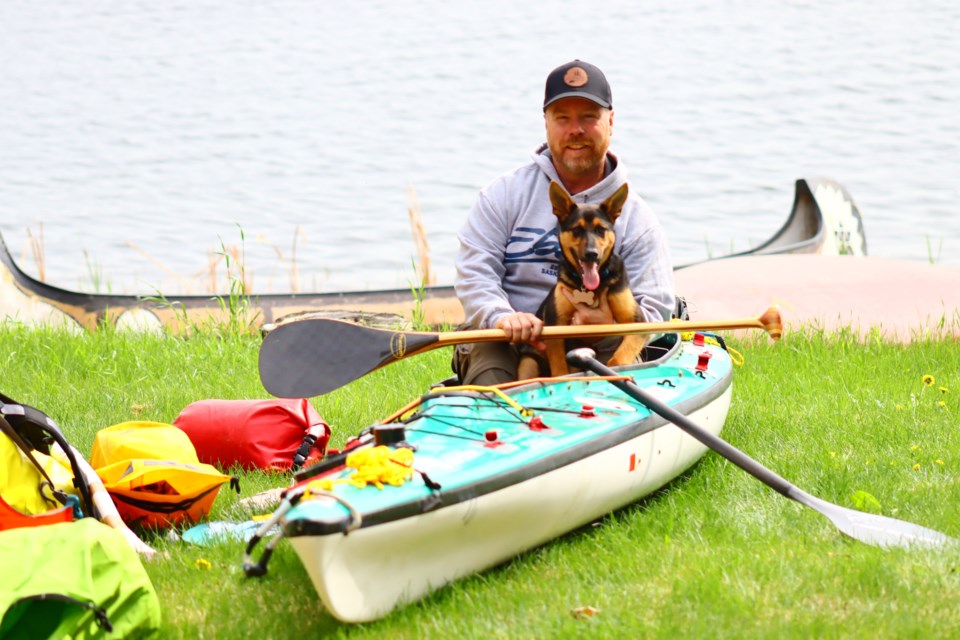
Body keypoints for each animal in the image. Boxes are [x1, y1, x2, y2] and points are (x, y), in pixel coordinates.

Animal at [516, 180, 644, 380]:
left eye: (601, 230)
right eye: (577, 229)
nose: (592, 254)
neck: (589, 287)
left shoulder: (637, 321)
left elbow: (620, 357)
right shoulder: (556, 324)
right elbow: (559, 368)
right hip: (528, 363)